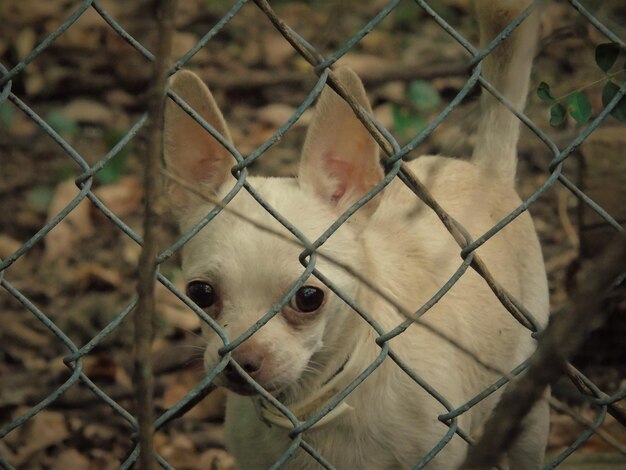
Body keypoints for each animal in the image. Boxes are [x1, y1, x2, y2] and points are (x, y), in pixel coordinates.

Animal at [165, 0, 544, 468]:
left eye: (309, 298)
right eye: (200, 293)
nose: (240, 362)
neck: (314, 406)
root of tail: (486, 170)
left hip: (529, 414)